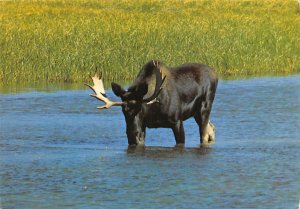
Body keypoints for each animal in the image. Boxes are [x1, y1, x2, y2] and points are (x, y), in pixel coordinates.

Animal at [85, 59, 217, 146]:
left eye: (139, 108)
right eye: (123, 110)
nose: (131, 134)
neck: (154, 110)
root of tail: (215, 75)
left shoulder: (177, 121)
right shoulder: (143, 125)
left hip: (205, 107)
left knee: (204, 133)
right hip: (196, 113)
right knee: (211, 127)